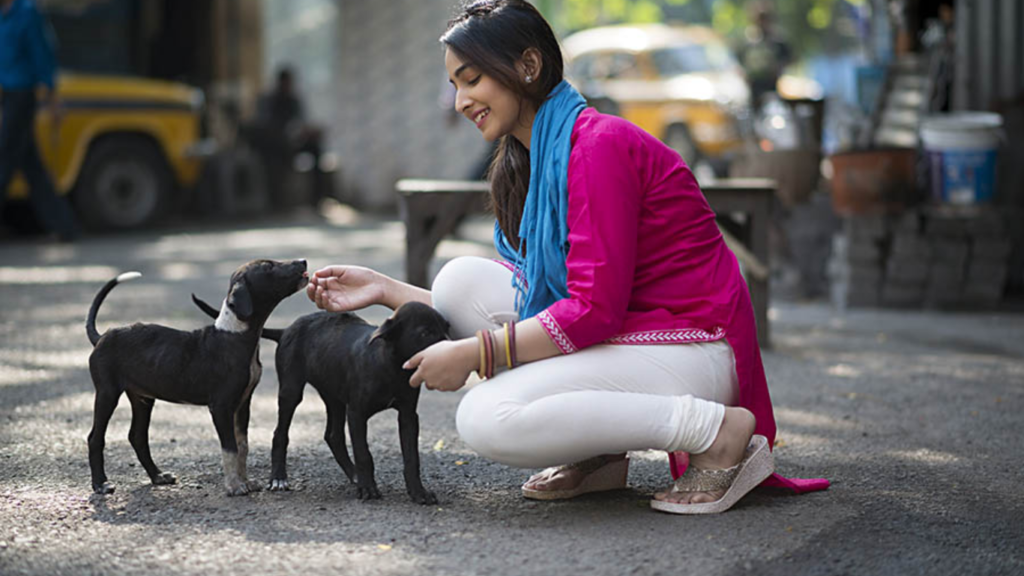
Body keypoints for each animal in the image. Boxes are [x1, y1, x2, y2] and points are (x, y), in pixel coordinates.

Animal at [86, 259, 309, 494]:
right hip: (107, 393)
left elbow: (242, 446)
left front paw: (246, 481)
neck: (235, 334)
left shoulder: (242, 403)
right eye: (268, 267)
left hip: (142, 398)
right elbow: (230, 448)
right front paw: (234, 486)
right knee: (95, 437)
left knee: (137, 436)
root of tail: (101, 337)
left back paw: (157, 476)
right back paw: (101, 483)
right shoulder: (220, 406)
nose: (303, 261)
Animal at [192, 295, 448, 502]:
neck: (392, 368)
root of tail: (287, 329)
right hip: (291, 391)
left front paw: (418, 492)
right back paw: (279, 478)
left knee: (332, 435)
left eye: (446, 327)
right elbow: (364, 453)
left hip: (334, 396)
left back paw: (353, 475)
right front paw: (368, 488)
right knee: (280, 434)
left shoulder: (408, 415)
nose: (450, 346)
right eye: (425, 333)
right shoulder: (357, 413)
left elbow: (411, 457)